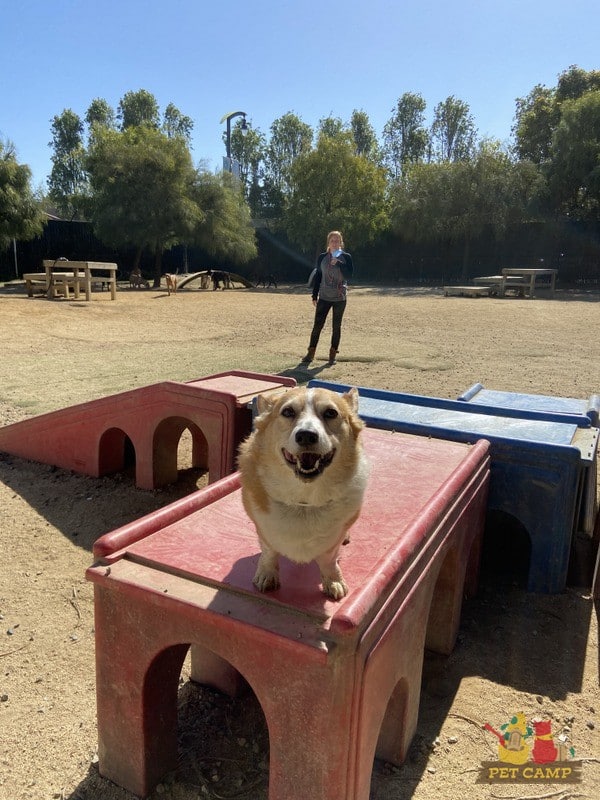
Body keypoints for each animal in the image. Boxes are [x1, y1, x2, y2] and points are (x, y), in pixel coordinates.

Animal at [239, 386, 370, 600]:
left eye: (331, 413)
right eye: (287, 412)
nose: (306, 435)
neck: (304, 499)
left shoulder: (332, 541)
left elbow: (328, 560)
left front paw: (333, 581)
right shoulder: (263, 529)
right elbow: (269, 552)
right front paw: (267, 575)